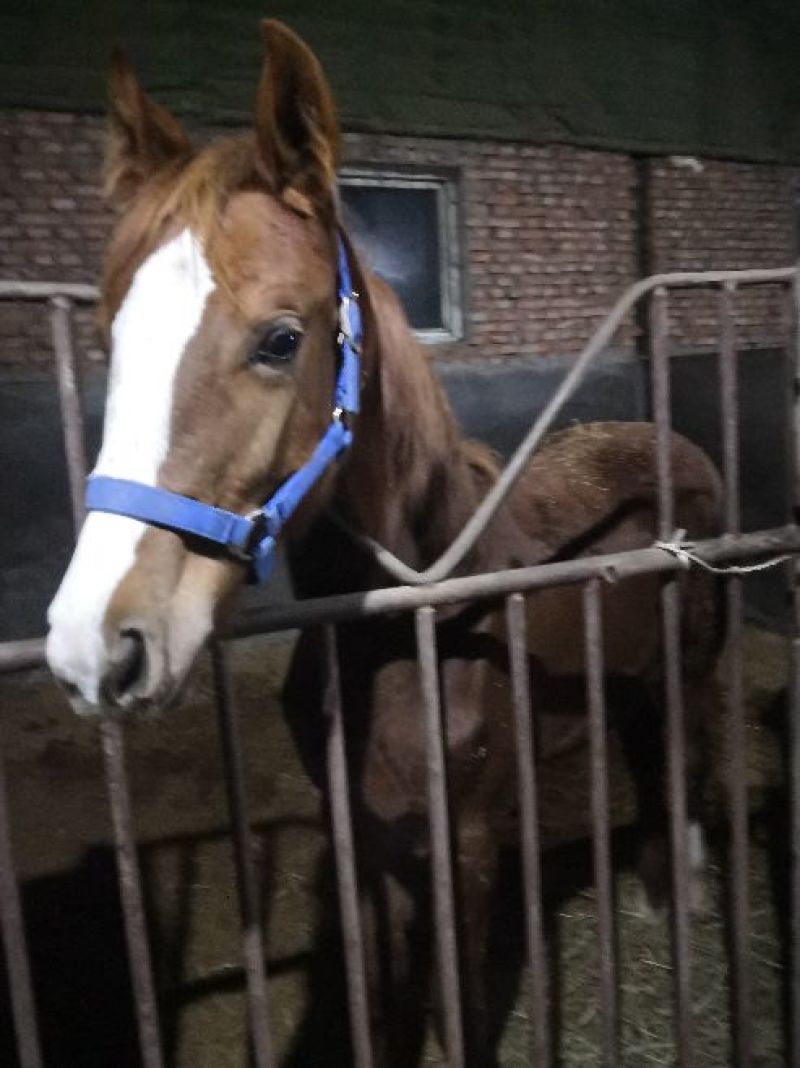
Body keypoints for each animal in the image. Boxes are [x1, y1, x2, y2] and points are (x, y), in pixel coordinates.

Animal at [45, 20, 725, 1066]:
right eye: (110, 337)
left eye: (281, 340)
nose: (95, 647)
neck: (414, 628)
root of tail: (674, 444)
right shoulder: (361, 840)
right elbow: (381, 990)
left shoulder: (469, 844)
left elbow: (459, 1009)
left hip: (691, 671)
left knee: (684, 756)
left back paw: (681, 893)